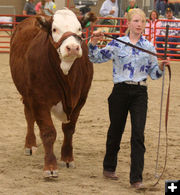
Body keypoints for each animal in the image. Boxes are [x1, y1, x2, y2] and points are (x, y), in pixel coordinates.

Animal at [9, 8, 96, 177]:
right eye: (55, 29)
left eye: (80, 29)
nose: (72, 47)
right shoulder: (39, 99)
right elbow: (48, 132)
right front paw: (50, 166)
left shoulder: (80, 100)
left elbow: (69, 129)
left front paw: (67, 158)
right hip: (26, 94)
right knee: (29, 116)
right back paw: (30, 144)